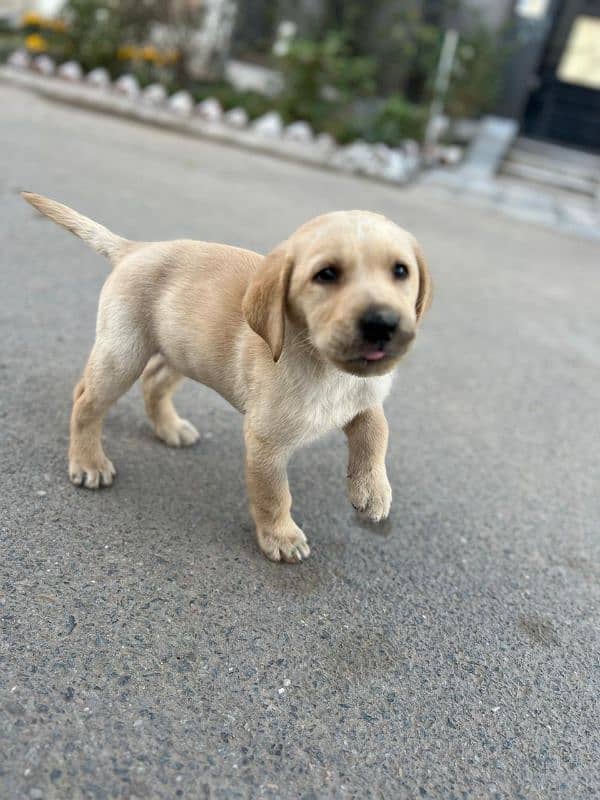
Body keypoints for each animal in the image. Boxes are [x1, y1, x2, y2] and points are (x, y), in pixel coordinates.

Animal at [19, 193, 432, 564]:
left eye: (400, 271)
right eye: (326, 274)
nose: (382, 323)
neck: (328, 370)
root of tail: (136, 249)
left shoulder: (363, 396)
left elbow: (376, 430)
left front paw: (372, 490)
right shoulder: (265, 443)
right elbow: (274, 495)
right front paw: (281, 537)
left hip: (184, 351)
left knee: (153, 382)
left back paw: (170, 428)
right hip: (123, 354)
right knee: (86, 400)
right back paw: (88, 461)